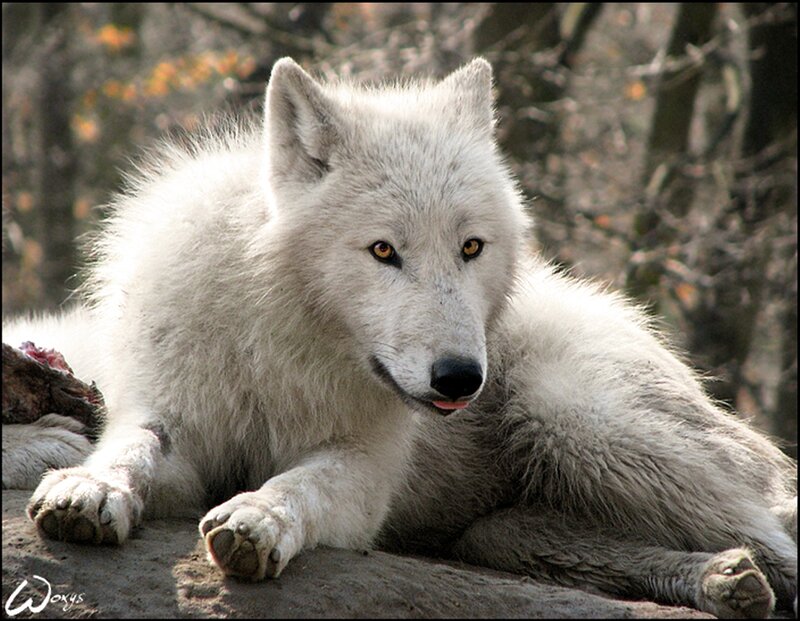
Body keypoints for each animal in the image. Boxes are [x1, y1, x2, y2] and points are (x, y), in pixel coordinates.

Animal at [3, 58, 796, 618]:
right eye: (384, 250)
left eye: (471, 247)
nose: (460, 378)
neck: (287, 340)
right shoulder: (175, 425)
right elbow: (131, 449)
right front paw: (87, 487)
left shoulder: (364, 473)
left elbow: (299, 484)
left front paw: (259, 516)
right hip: (514, 518)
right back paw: (725, 582)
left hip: (578, 421)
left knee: (775, 532)